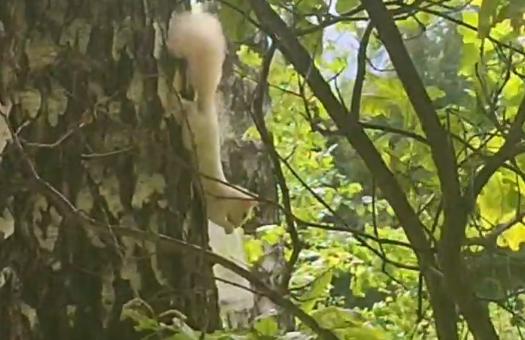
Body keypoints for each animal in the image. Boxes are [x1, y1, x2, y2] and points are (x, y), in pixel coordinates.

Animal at [167, 10, 256, 234]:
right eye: (244, 214)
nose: (239, 224)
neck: (226, 193)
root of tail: (205, 111)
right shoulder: (214, 205)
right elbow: (215, 218)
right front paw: (229, 228)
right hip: (191, 127)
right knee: (182, 108)